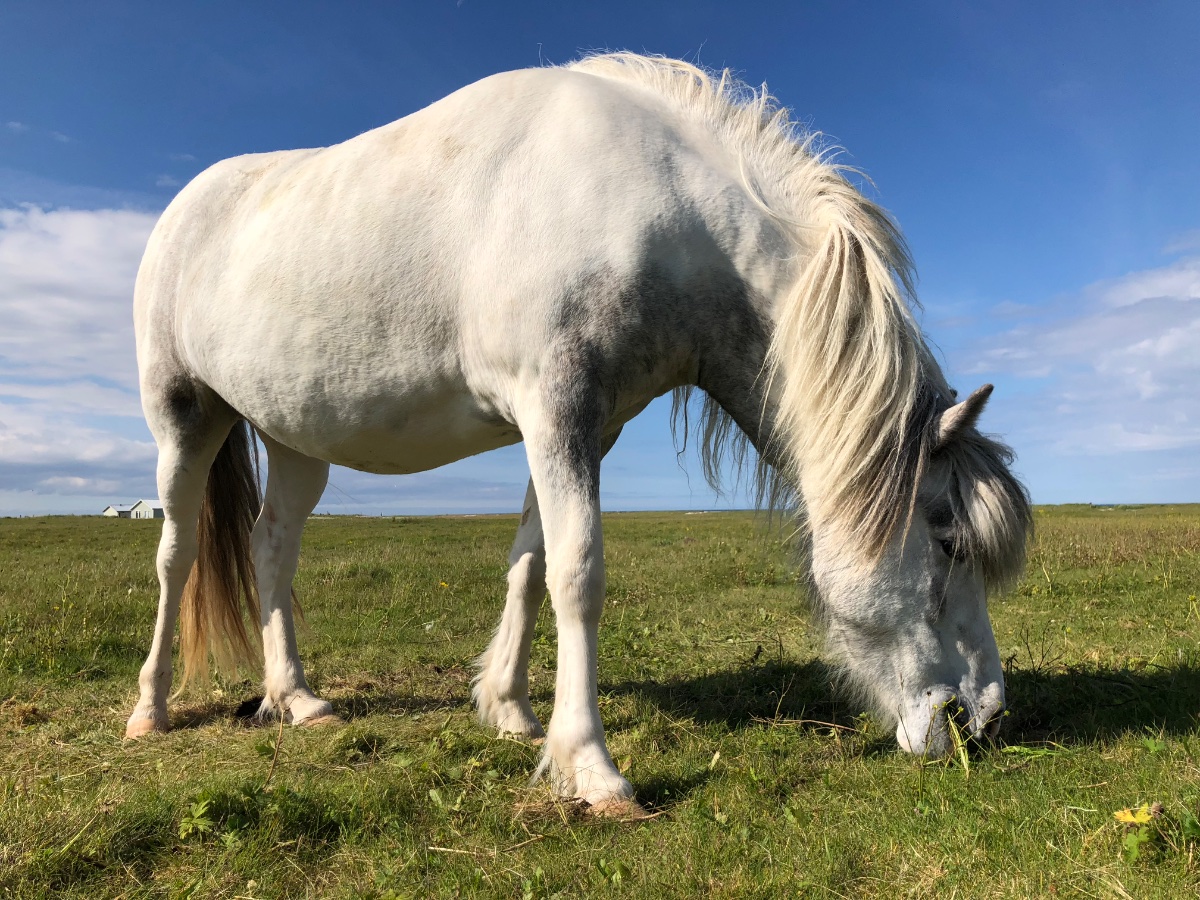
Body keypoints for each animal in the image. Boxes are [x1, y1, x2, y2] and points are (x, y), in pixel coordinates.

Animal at [125, 53, 1032, 811]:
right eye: (948, 540)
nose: (987, 719)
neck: (657, 211)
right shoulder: (556, 407)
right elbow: (578, 575)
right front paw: (592, 769)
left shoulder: (580, 428)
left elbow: (531, 566)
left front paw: (509, 711)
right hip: (185, 417)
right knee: (176, 554)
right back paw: (150, 709)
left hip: (295, 440)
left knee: (274, 547)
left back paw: (297, 699)